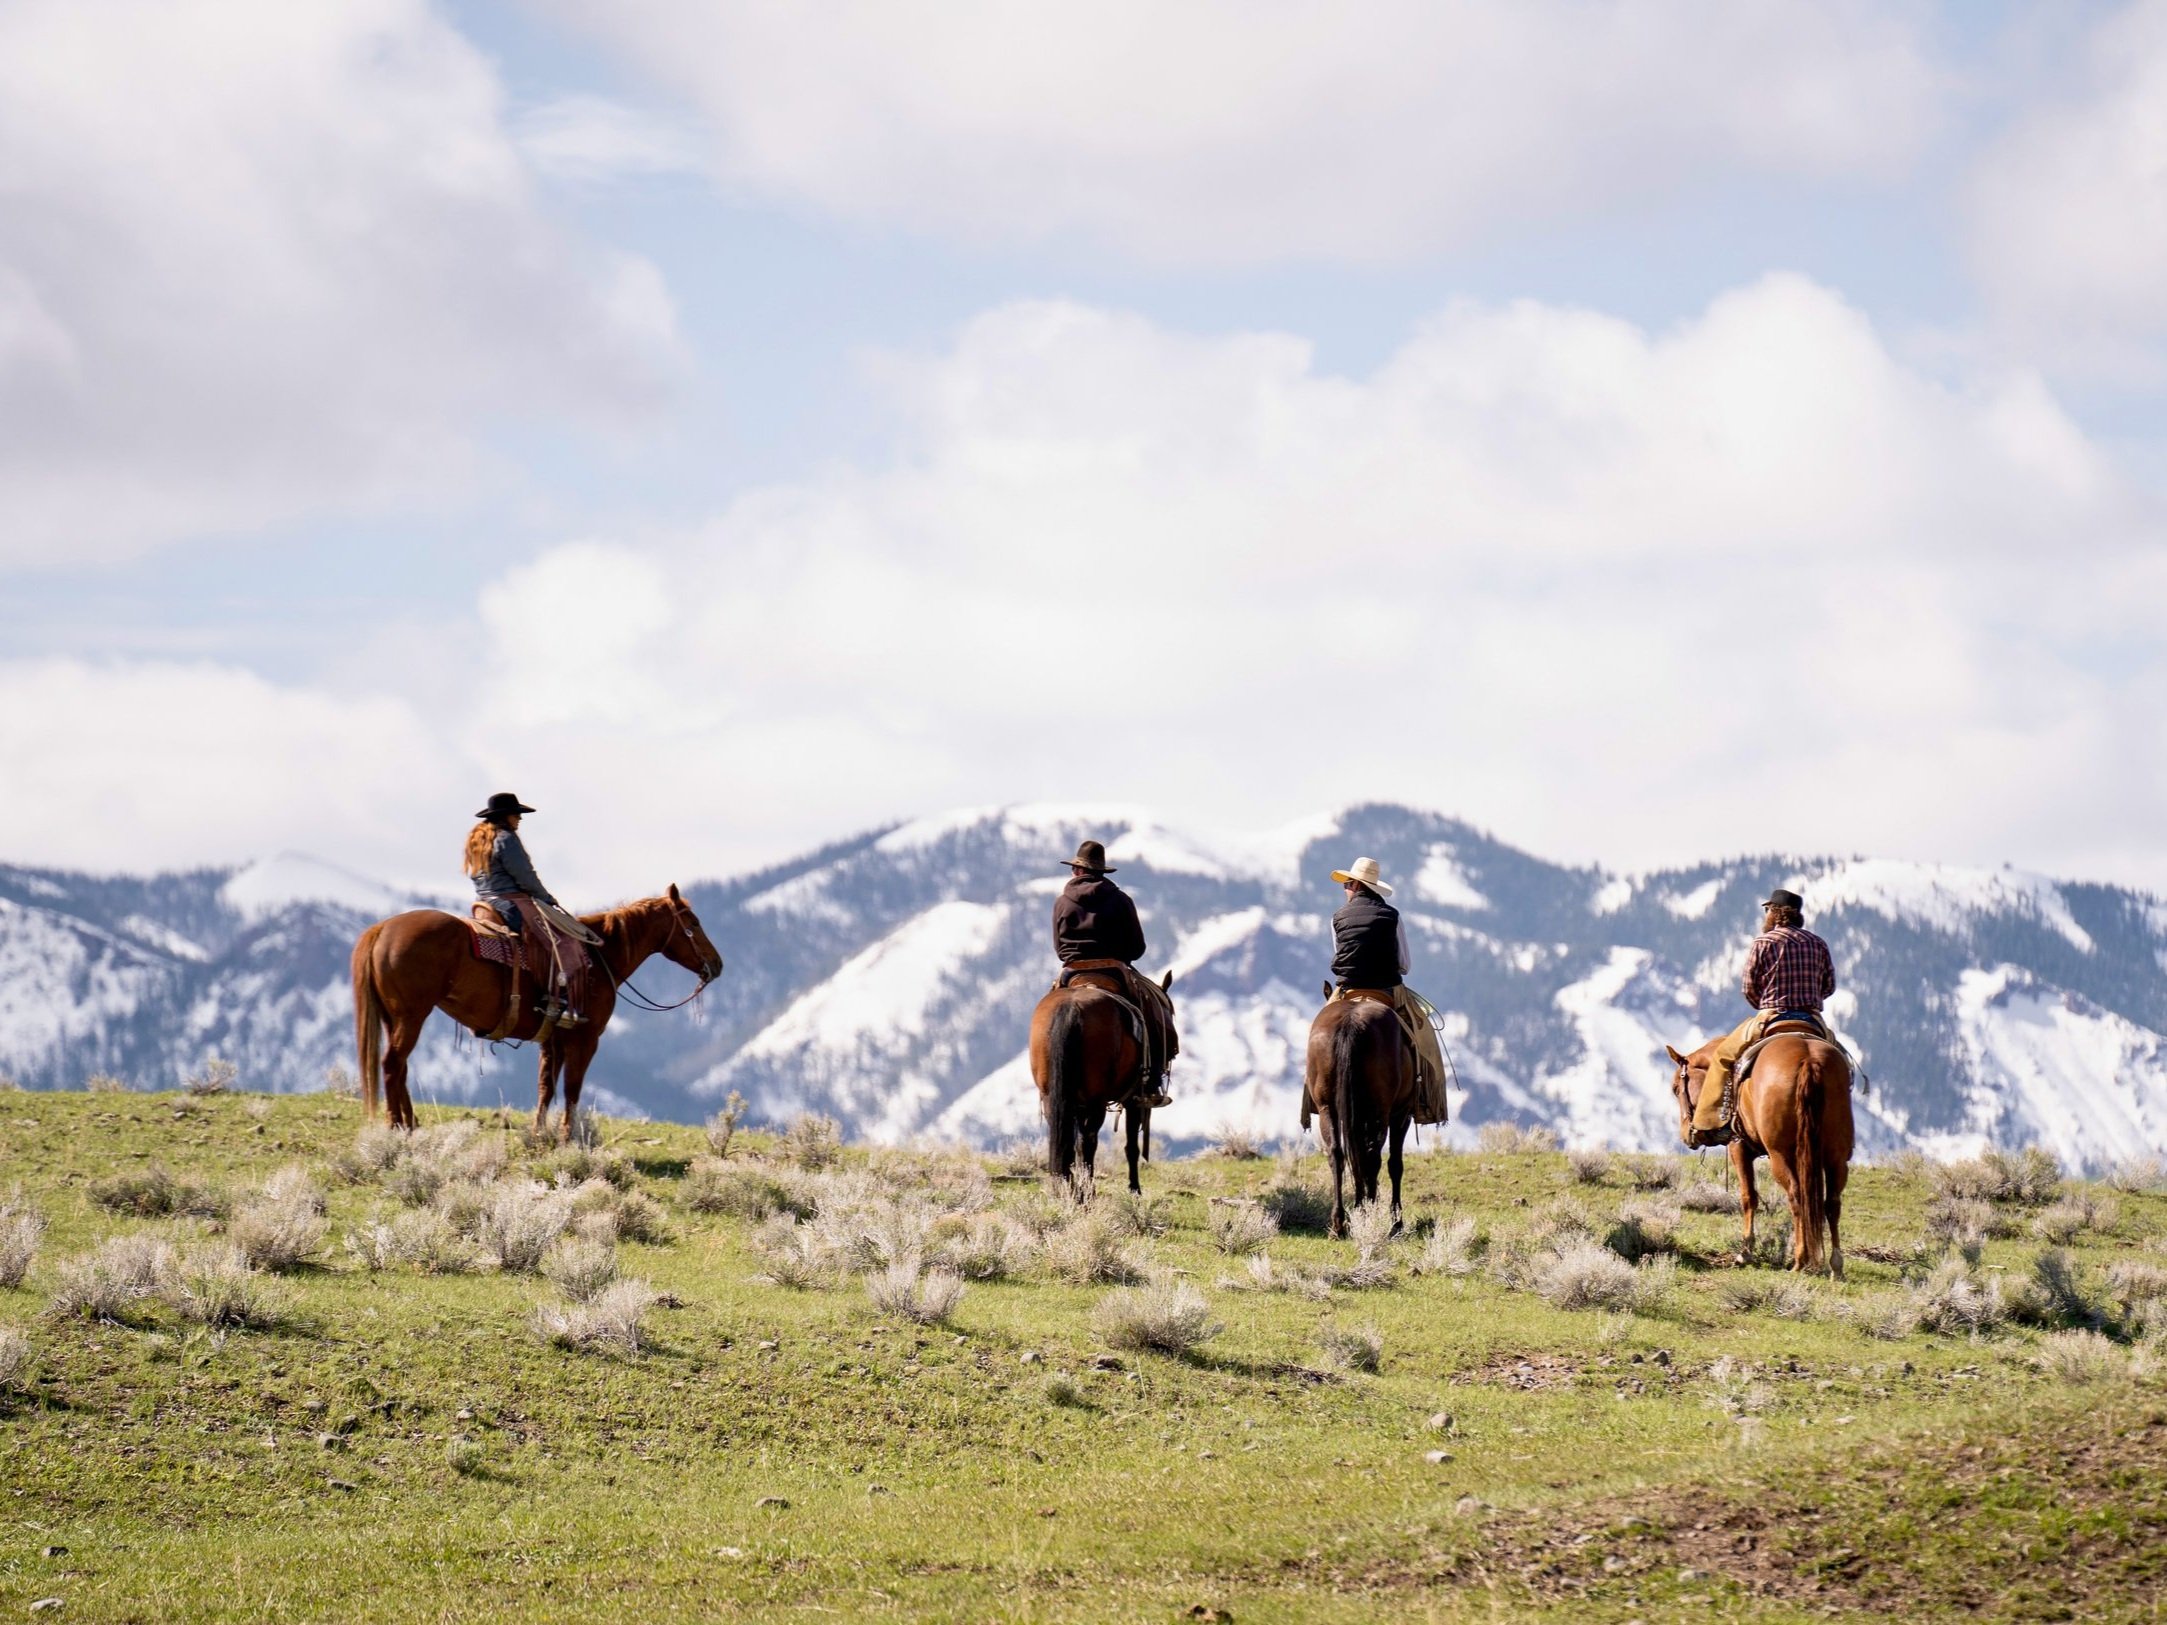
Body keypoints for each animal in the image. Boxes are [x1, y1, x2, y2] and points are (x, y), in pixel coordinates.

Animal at [351, 884, 723, 1135]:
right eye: (693, 922)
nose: (717, 965)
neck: (601, 957)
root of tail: (382, 928)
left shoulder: (552, 1039)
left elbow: (546, 1086)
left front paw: (540, 1133)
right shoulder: (586, 1038)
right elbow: (572, 1088)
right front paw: (566, 1138)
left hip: (394, 1018)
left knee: (399, 1068)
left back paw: (411, 1123)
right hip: (411, 1016)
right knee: (392, 1064)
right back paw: (396, 1127)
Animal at [1027, 966, 1178, 1196]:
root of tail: (1071, 1009)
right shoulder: (1134, 1099)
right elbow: (1131, 1146)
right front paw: (1135, 1190)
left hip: (1053, 1096)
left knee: (1063, 1137)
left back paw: (1067, 1187)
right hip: (1096, 1100)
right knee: (1089, 1141)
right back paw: (1086, 1192)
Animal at [1300, 988, 1421, 1239]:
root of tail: (1350, 1022)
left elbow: (1356, 1159)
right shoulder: (1401, 1113)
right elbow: (1394, 1163)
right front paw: (1396, 1222)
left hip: (1328, 1108)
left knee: (1337, 1154)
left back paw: (1339, 1223)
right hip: (1381, 1110)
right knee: (1373, 1157)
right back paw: (1370, 1215)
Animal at [1664, 1031, 1854, 1282]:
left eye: (1676, 1088)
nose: (1686, 1134)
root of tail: (1809, 1060)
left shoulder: (1739, 1148)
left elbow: (1748, 1197)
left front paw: (1745, 1252)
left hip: (1780, 1156)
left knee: (1796, 1196)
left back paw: (1800, 1260)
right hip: (1836, 1156)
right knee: (1831, 1203)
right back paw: (1835, 1266)